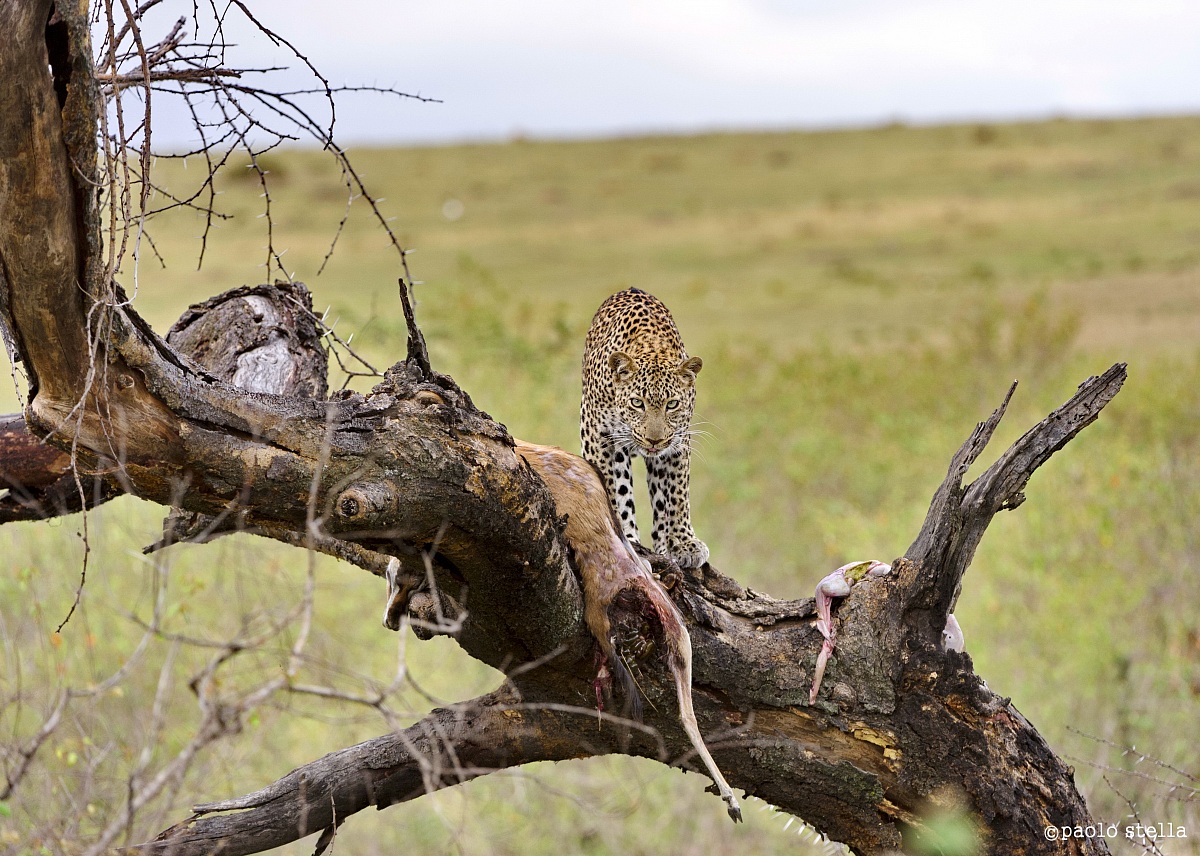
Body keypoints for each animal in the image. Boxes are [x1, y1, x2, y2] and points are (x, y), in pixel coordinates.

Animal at [583, 286, 705, 566]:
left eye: (672, 404)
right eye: (637, 403)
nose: (654, 440)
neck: (653, 348)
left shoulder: (679, 440)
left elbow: (678, 493)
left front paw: (685, 543)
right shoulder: (597, 433)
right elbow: (609, 486)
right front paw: (617, 530)